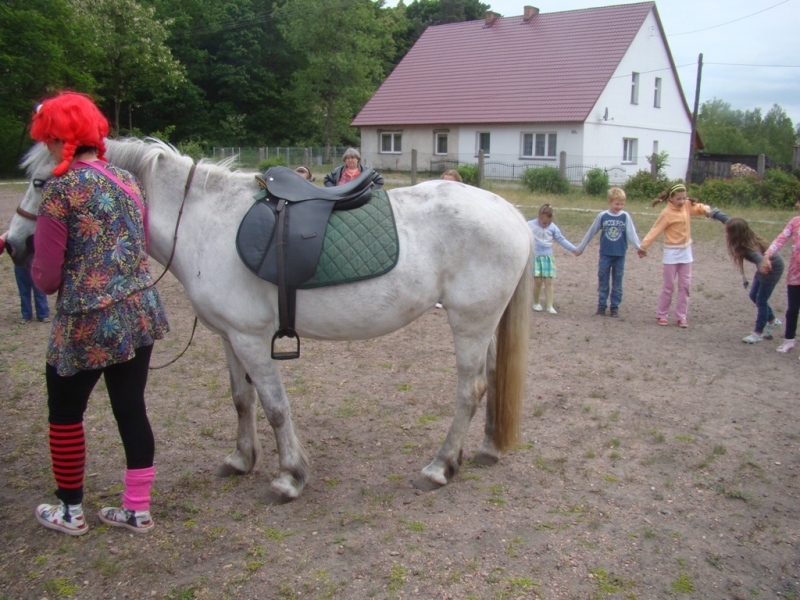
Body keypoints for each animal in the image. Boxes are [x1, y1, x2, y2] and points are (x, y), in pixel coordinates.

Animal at [7, 141, 532, 502]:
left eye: (39, 182)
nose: (13, 246)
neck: (203, 221)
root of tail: (510, 211)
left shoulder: (252, 339)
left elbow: (275, 406)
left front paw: (289, 476)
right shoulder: (229, 337)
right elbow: (242, 400)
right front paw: (242, 458)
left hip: (469, 323)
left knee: (470, 390)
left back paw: (440, 467)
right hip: (483, 325)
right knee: (490, 381)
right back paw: (485, 449)